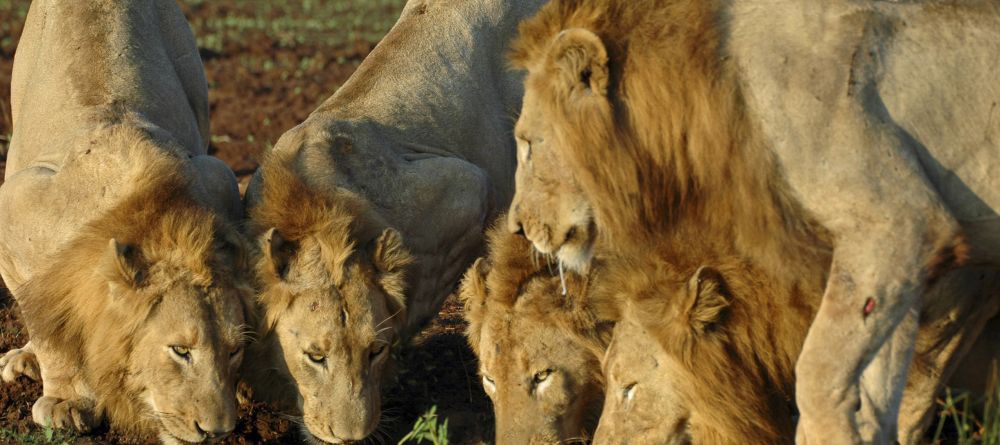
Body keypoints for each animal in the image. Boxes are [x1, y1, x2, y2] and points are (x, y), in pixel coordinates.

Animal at [0, 1, 251, 443]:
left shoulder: (217, 177)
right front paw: (67, 400)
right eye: (180, 351)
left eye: (234, 350)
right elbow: (48, 326)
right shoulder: (13, 210)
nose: (218, 430)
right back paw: (25, 360)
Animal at [239, 0, 552, 441]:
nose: (349, 437)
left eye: (375, 350)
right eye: (315, 356)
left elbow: (412, 299)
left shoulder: (470, 184)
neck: (318, 208)